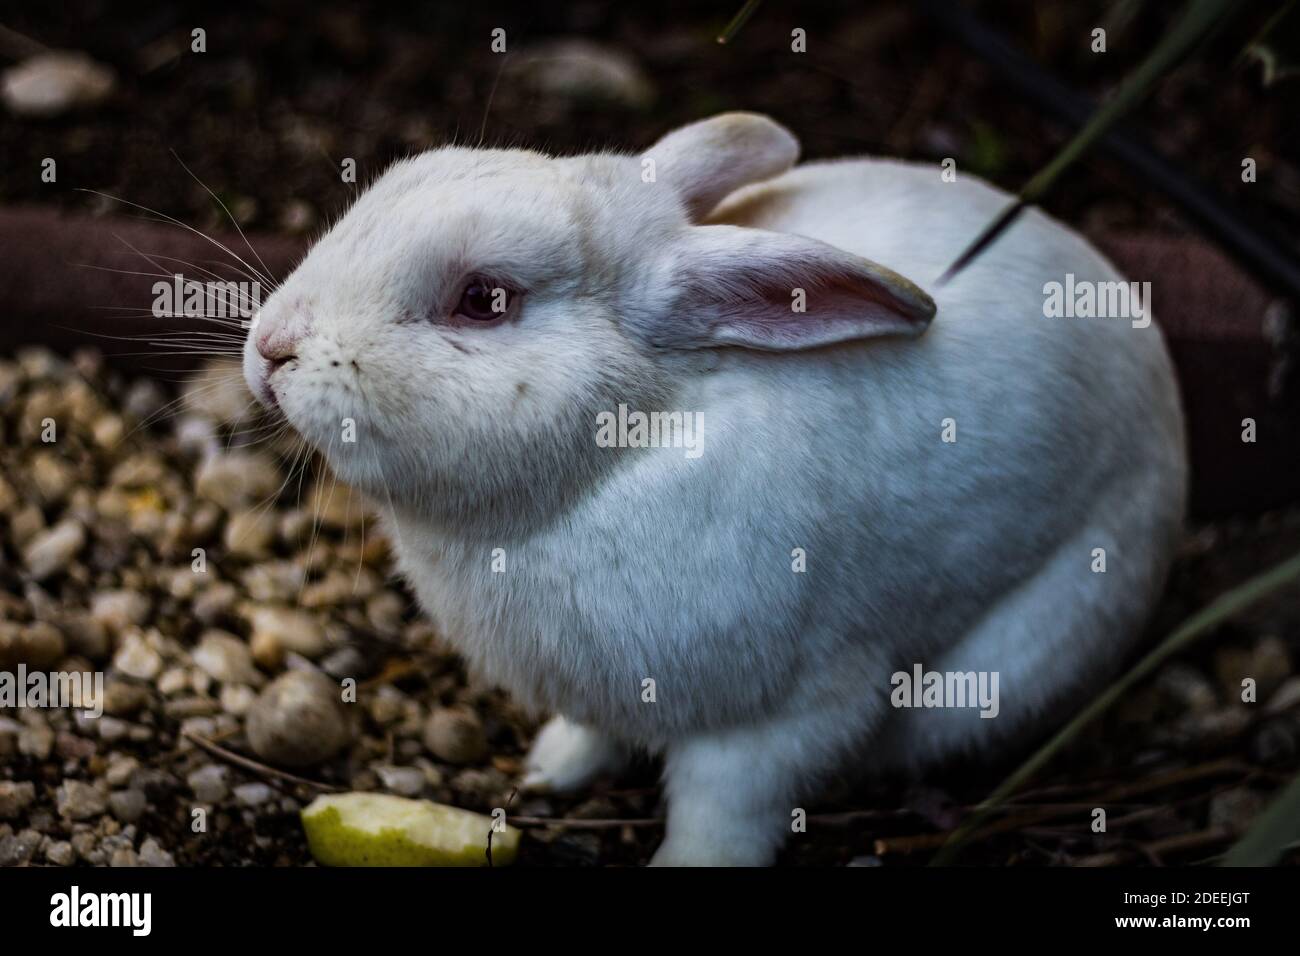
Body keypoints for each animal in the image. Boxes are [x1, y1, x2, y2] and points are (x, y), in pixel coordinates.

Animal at [244, 113, 1190, 868]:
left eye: (484, 299)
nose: (270, 347)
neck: (617, 459)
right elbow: (594, 733)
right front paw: (554, 768)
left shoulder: (785, 717)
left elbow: (723, 815)